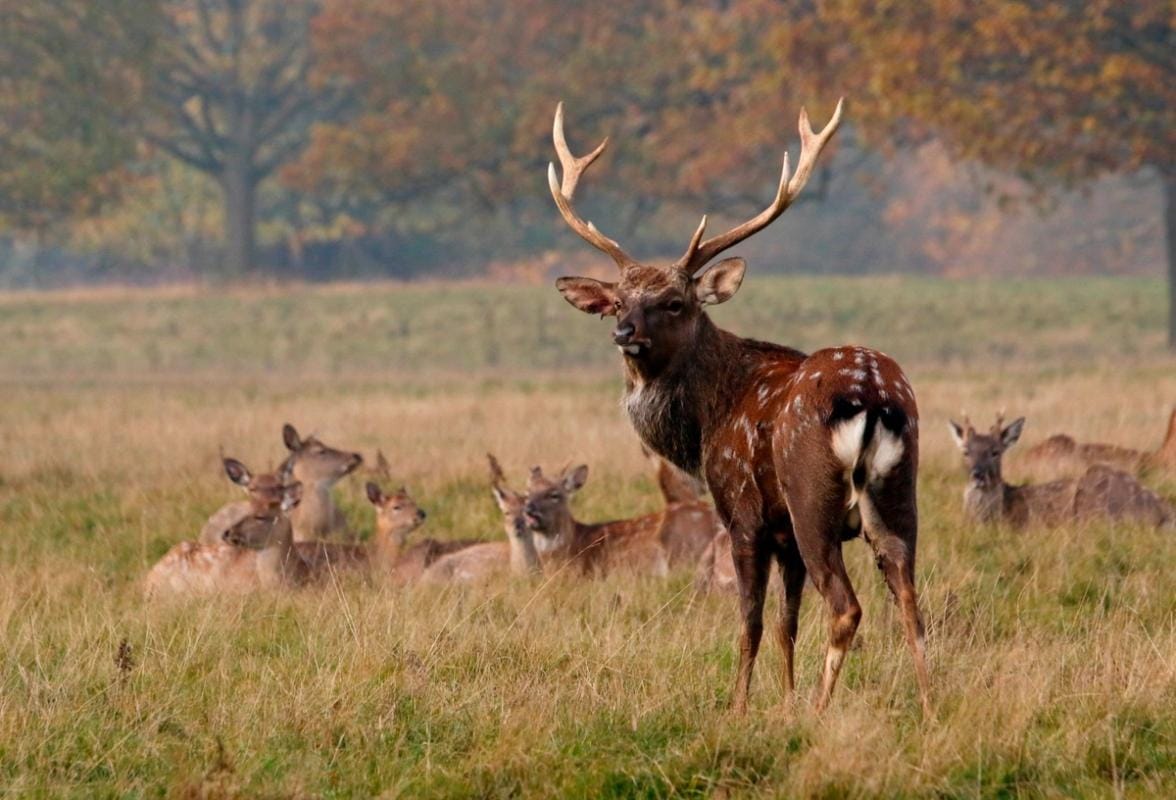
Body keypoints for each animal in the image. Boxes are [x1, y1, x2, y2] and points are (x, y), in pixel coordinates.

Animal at [545, 99, 931, 715]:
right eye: (617, 302)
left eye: (674, 302)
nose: (624, 333)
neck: (708, 418)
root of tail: (872, 396)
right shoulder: (783, 538)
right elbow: (786, 625)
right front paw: (785, 701)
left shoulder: (744, 514)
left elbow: (750, 623)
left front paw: (741, 708)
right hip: (898, 494)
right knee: (910, 602)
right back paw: (927, 704)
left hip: (811, 498)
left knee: (846, 606)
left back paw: (822, 711)